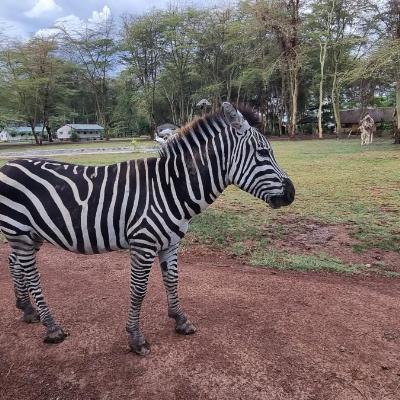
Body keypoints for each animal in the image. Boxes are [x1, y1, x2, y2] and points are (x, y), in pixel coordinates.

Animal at [0, 103, 294, 356]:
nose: (291, 194)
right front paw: (135, 338)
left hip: (30, 235)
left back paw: (27, 310)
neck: (169, 188)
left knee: (14, 262)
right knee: (31, 274)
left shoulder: (171, 243)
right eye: (263, 153)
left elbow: (172, 280)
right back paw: (52, 327)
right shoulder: (143, 244)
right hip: (21, 233)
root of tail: (8, 164)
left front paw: (180, 320)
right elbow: (139, 290)